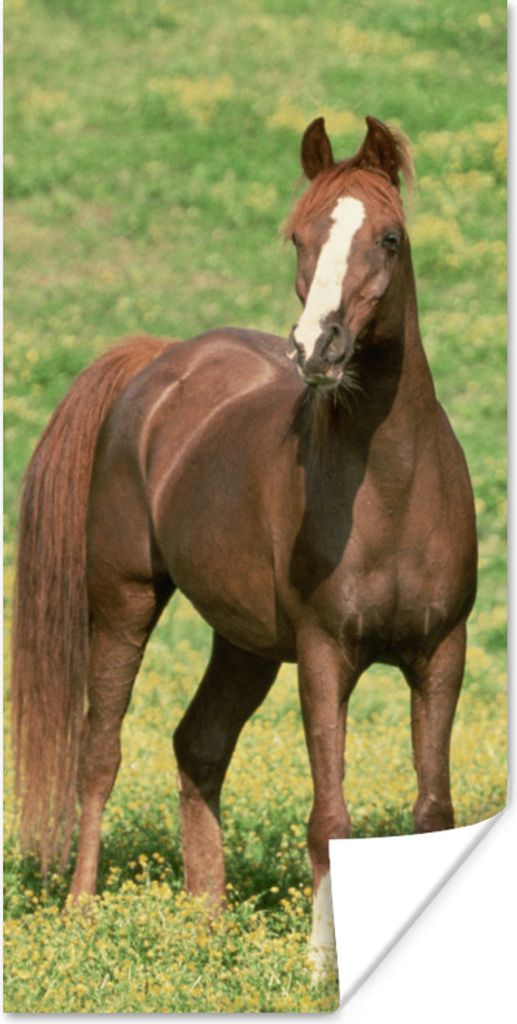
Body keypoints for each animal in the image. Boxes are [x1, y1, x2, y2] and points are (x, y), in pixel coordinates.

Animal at [12, 115, 477, 966]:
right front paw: (323, 963)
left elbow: (433, 810)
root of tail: (159, 360)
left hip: (246, 642)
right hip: (123, 601)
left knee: (198, 744)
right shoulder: (325, 656)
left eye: (389, 237)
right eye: (298, 235)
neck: (392, 492)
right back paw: (82, 913)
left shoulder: (440, 653)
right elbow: (329, 816)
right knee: (100, 753)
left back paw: (207, 923)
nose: (317, 349)